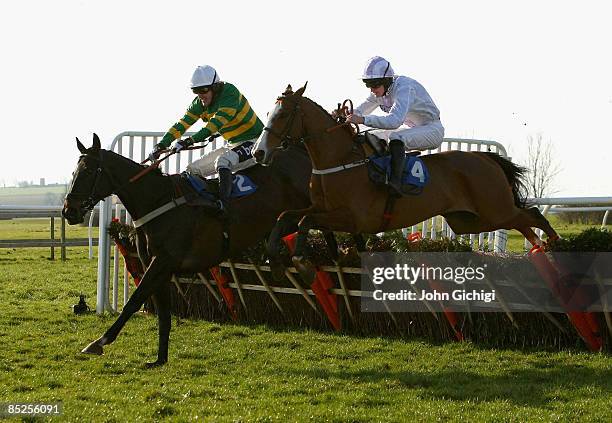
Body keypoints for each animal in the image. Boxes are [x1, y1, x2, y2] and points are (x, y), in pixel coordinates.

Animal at [64, 134, 314, 366]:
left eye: (88, 171)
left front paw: (99, 341)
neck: (158, 200)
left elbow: (134, 300)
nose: (69, 211)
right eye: (74, 171)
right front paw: (159, 359)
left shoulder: (163, 262)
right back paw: (282, 261)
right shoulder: (160, 268)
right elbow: (163, 313)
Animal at [253, 84, 560, 274]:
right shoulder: (320, 208)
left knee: (532, 214)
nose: (259, 152)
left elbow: (304, 221)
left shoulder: (354, 219)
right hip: (471, 220)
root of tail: (486, 158)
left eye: (283, 114)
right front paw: (274, 257)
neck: (339, 161)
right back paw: (541, 248)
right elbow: (286, 216)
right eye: (270, 112)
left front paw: (300, 262)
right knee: (524, 220)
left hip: (493, 210)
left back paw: (554, 244)